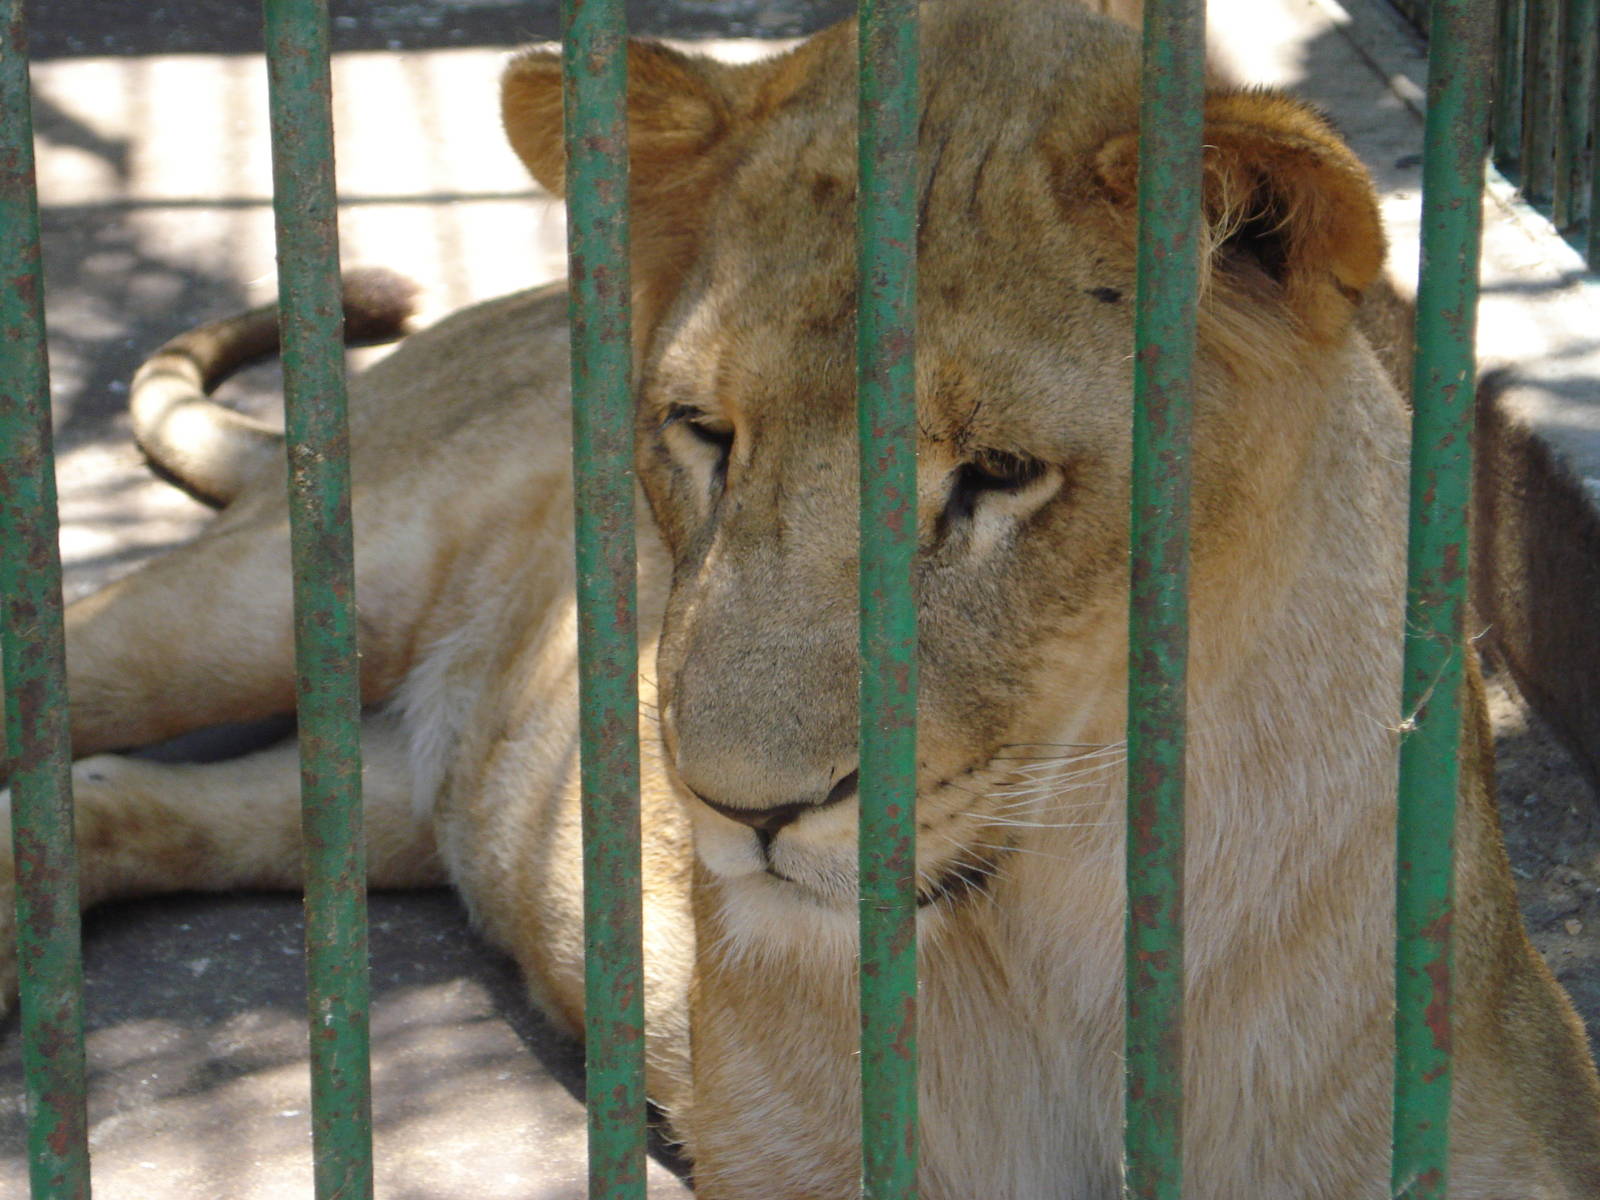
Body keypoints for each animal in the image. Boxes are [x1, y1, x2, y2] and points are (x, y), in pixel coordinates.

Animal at [3, 1, 1598, 1195]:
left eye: (999, 474)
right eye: (705, 431)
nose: (737, 811)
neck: (1076, 926)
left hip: (402, 787)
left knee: (129, 797)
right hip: (272, 601)